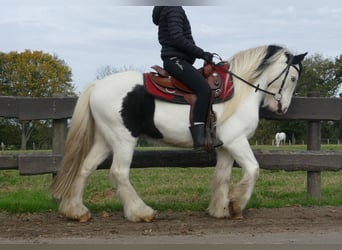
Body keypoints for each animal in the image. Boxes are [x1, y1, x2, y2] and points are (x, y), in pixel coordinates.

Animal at [50, 45, 308, 223]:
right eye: (293, 78)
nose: (282, 108)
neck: (239, 91)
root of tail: (97, 86)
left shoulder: (225, 146)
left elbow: (222, 176)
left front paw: (220, 209)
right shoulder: (236, 141)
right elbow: (253, 169)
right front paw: (236, 205)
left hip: (106, 139)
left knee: (85, 168)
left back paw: (76, 211)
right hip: (124, 139)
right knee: (119, 173)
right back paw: (141, 212)